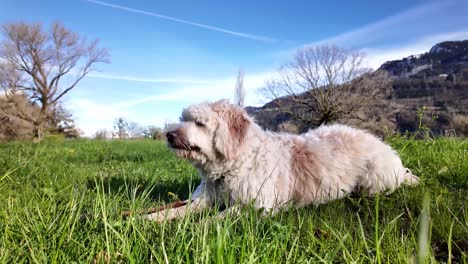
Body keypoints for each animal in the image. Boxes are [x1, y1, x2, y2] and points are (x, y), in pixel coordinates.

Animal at [145, 100, 416, 221]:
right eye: (184, 118)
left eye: (200, 123)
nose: (169, 135)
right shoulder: (204, 199)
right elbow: (178, 210)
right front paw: (147, 220)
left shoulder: (257, 206)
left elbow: (215, 219)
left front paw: (194, 227)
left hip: (374, 180)